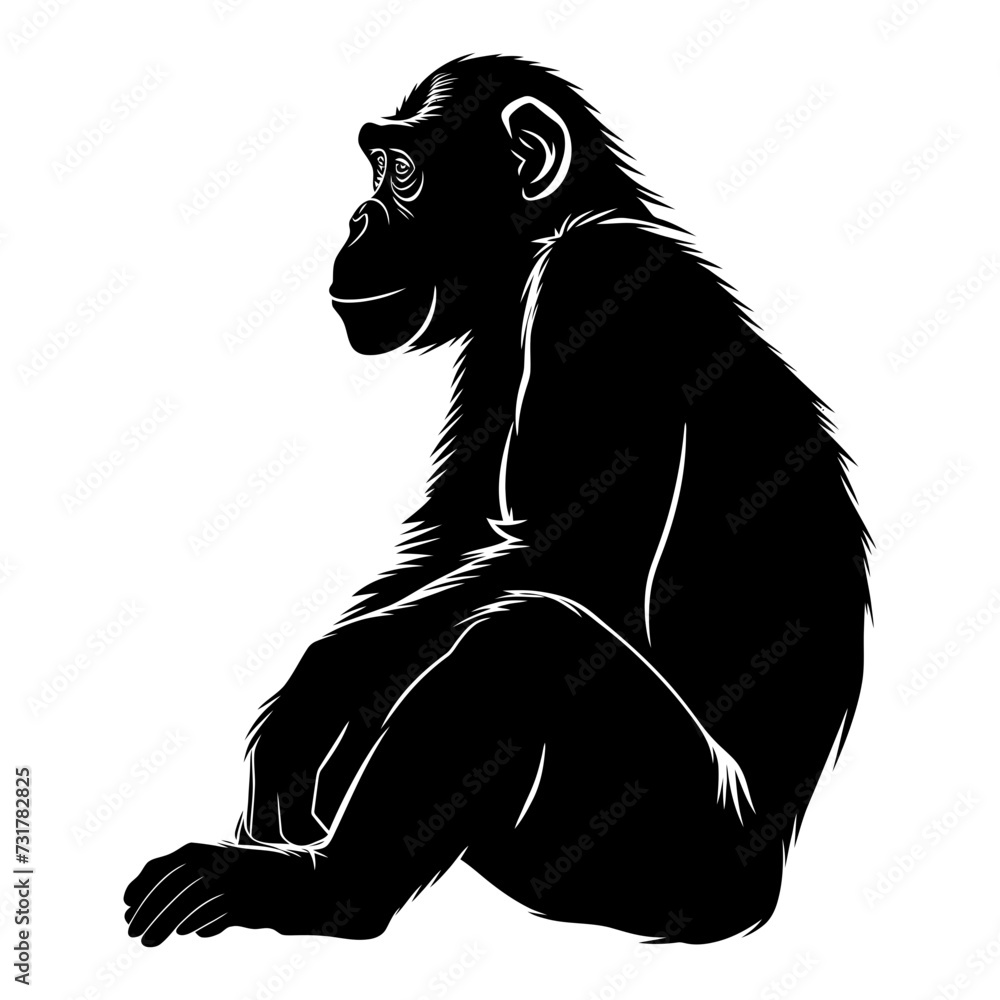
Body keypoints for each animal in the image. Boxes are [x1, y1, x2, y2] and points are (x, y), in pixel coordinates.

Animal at [125, 54, 870, 948]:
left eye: (401, 173)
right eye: (374, 167)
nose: (359, 218)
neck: (553, 235)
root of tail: (767, 890)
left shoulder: (598, 292)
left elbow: (569, 549)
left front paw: (321, 693)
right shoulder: (491, 340)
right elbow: (462, 532)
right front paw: (305, 705)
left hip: (682, 855)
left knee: (521, 645)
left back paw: (318, 890)